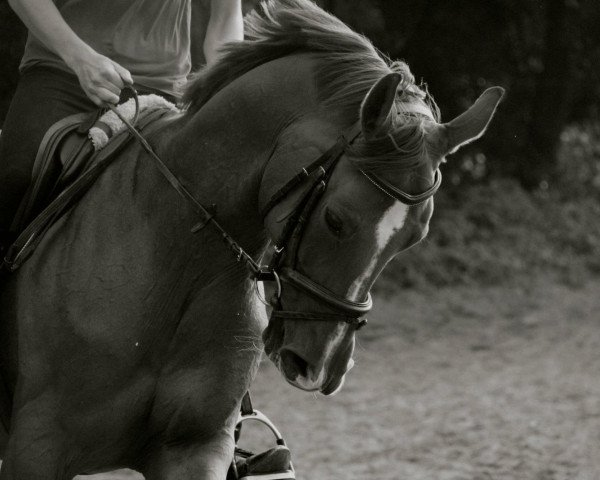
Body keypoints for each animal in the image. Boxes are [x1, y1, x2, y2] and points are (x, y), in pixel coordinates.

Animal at [0, 1, 502, 478]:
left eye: (413, 238)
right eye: (336, 220)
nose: (320, 366)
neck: (178, 259)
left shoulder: (194, 448)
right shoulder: (37, 450)